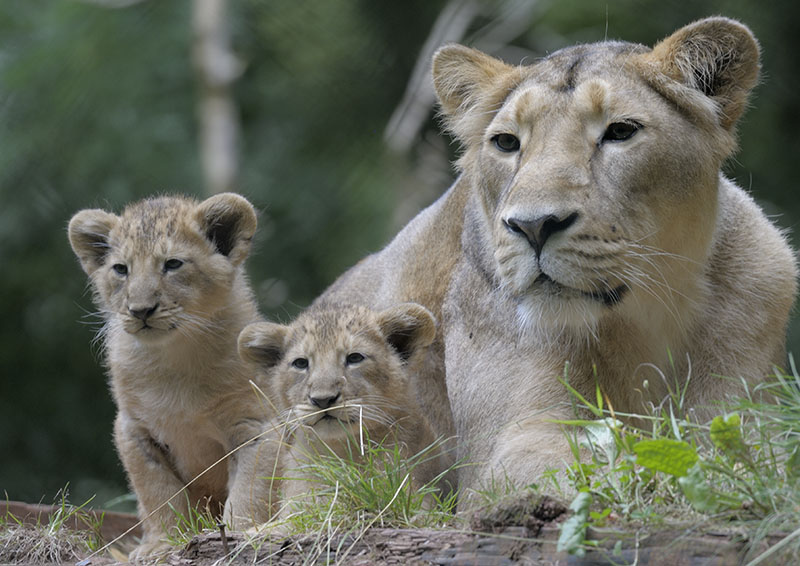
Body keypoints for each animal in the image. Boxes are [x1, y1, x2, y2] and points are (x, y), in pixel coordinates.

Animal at [68, 193, 278, 560]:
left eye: (173, 264)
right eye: (121, 269)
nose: (141, 310)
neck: (172, 360)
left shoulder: (255, 424)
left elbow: (248, 490)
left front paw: (240, 534)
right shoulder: (134, 430)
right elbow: (157, 492)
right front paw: (160, 545)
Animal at [316, 17, 797, 504]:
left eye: (620, 131)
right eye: (506, 142)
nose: (533, 226)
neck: (649, 317)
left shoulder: (745, 407)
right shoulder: (503, 454)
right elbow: (602, 465)